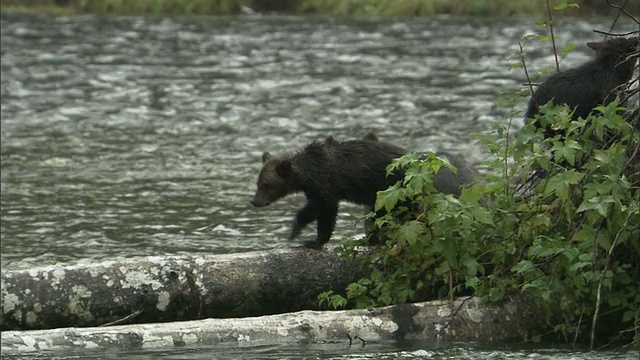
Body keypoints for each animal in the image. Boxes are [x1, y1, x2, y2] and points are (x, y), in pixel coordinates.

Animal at [250, 134, 480, 249]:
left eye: (266, 185)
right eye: (258, 182)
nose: (254, 201)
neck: (309, 172)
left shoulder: (326, 184)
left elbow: (323, 210)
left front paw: (304, 236)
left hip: (397, 187)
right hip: (386, 195)